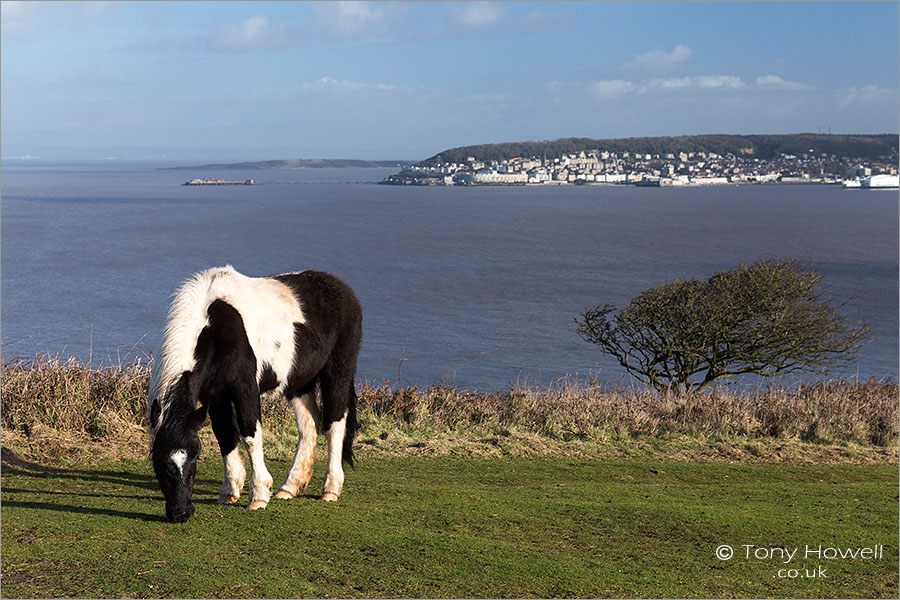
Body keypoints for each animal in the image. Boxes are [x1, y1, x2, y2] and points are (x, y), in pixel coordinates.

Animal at [146, 264, 360, 524]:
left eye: (195, 456)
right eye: (159, 460)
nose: (181, 513)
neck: (215, 328)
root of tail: (344, 290)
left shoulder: (245, 388)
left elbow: (250, 435)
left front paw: (258, 495)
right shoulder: (215, 395)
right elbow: (225, 436)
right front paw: (229, 491)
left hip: (338, 373)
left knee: (335, 424)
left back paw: (330, 489)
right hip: (299, 383)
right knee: (309, 425)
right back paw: (290, 487)